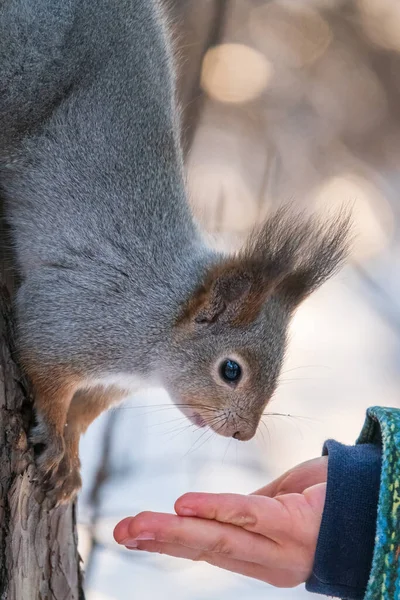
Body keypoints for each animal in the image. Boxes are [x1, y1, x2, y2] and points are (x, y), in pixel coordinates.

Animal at [0, 0, 350, 506]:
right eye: (230, 370)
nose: (243, 434)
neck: (161, 320)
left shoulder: (111, 381)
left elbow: (83, 411)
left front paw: (73, 454)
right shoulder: (77, 314)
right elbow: (46, 371)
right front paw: (56, 440)